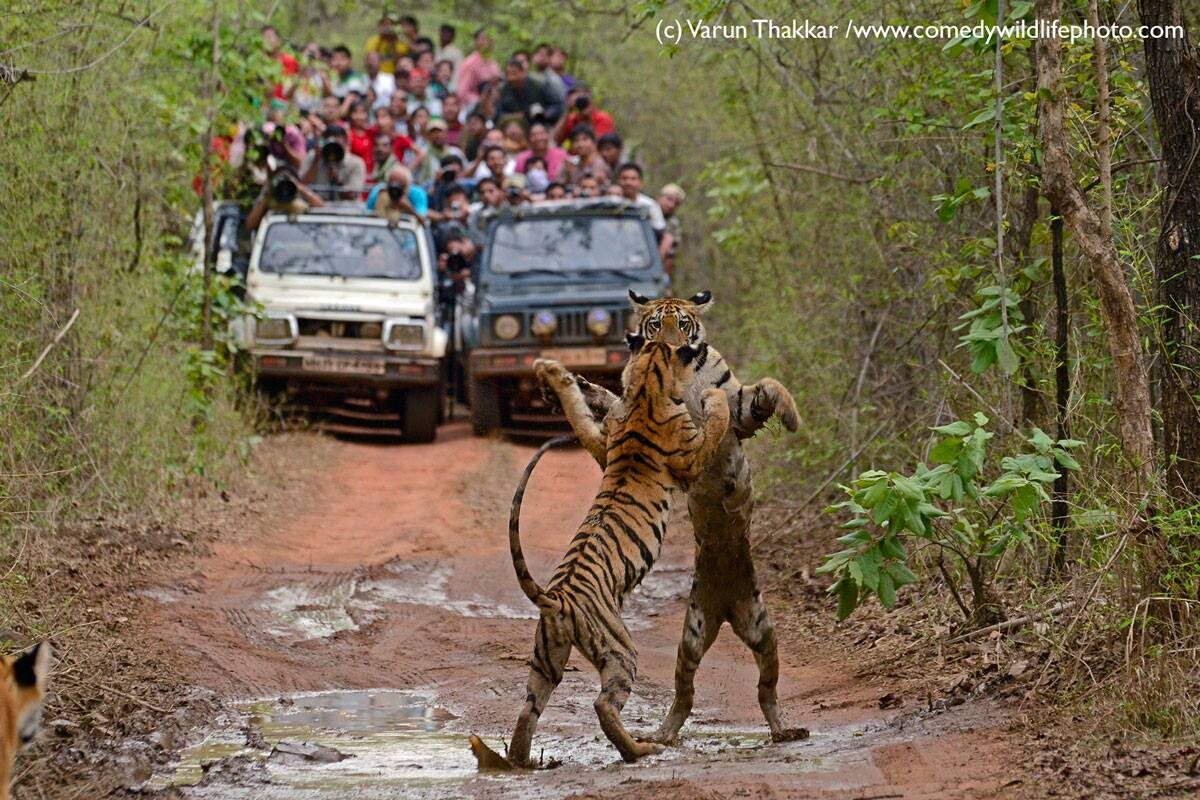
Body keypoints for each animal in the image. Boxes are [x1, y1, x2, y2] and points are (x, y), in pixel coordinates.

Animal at [487, 331, 729, 767]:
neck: (648, 387)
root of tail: (557, 598)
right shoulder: (691, 455)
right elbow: (716, 423)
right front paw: (716, 398)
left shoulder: (603, 444)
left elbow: (579, 412)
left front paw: (558, 376)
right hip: (620, 649)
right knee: (603, 705)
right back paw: (640, 749)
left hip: (546, 656)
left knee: (528, 708)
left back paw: (523, 761)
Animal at [535, 291, 806, 748]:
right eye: (654, 325)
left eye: (683, 323)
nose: (678, 349)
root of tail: (726, 609)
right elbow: (608, 402)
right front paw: (577, 386)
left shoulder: (739, 408)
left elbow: (769, 386)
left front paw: (791, 417)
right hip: (691, 637)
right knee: (686, 691)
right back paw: (662, 734)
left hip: (763, 631)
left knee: (766, 689)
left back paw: (785, 728)